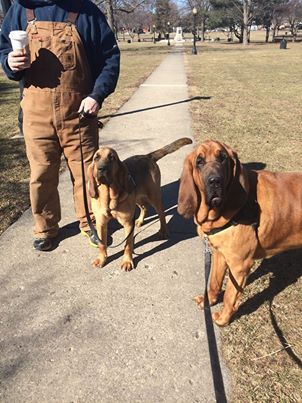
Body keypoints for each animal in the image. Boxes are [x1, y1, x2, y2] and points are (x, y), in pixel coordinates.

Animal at [87, 137, 191, 274]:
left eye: (112, 157)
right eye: (96, 158)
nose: (101, 169)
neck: (109, 197)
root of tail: (148, 156)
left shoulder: (127, 224)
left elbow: (127, 245)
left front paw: (127, 261)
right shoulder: (101, 223)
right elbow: (102, 244)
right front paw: (101, 259)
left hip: (154, 196)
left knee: (161, 214)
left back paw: (163, 231)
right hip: (137, 197)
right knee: (144, 207)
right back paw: (140, 221)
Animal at [177, 140, 302, 326]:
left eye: (223, 158)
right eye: (199, 161)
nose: (215, 181)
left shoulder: (239, 265)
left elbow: (230, 295)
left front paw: (222, 319)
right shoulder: (220, 254)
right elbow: (213, 282)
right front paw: (209, 301)